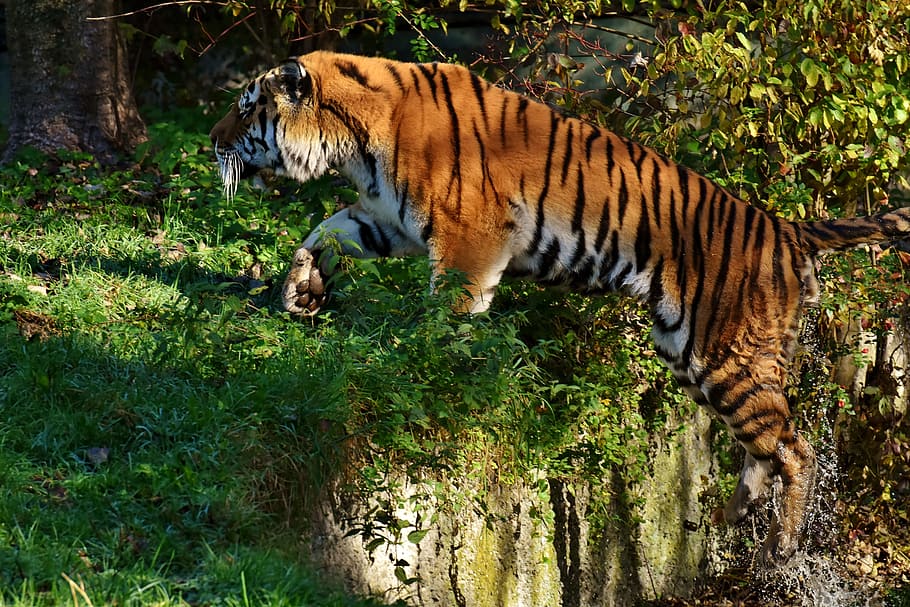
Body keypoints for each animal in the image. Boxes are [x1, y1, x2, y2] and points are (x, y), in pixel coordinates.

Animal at [209, 51, 910, 565]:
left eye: (246, 110)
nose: (210, 141)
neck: (351, 141)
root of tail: (788, 228)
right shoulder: (385, 218)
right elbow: (321, 233)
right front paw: (300, 292)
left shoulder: (469, 236)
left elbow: (446, 314)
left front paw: (425, 371)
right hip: (690, 355)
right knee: (765, 446)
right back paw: (729, 516)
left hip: (724, 356)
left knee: (796, 449)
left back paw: (781, 550)